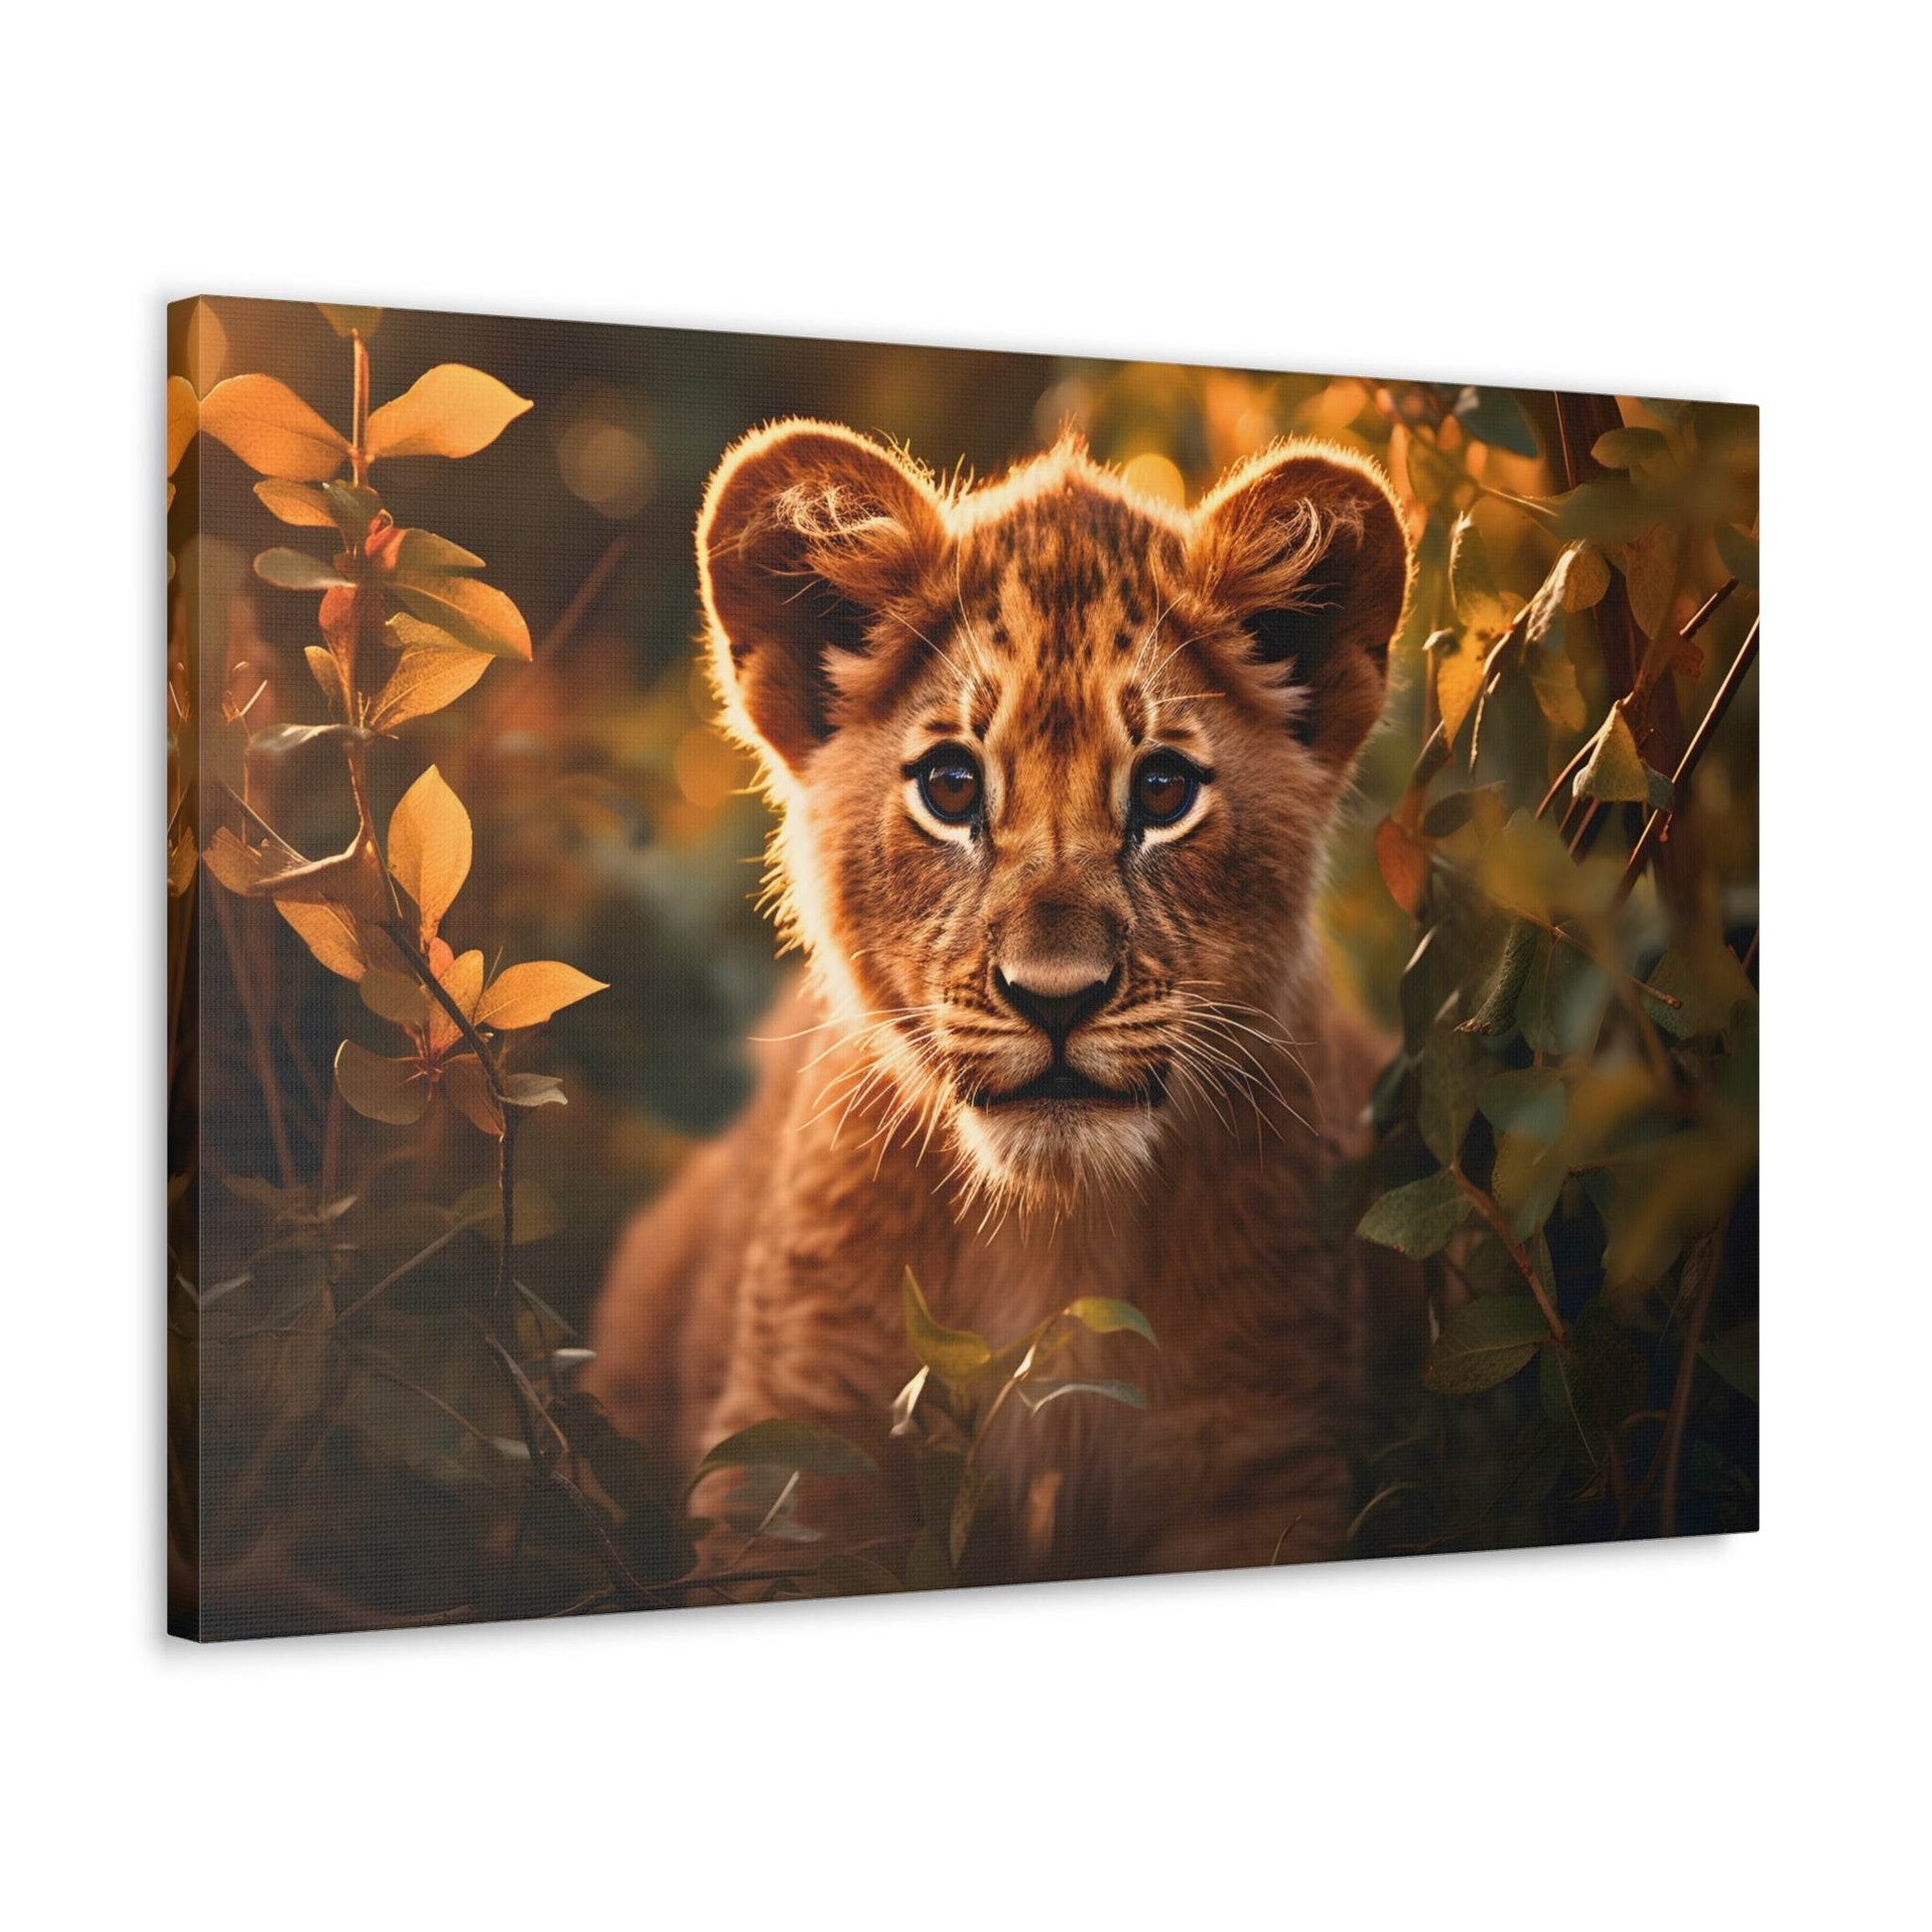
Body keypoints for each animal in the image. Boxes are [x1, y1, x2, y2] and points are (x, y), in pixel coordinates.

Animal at [585, 417, 1416, 1584]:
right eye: (951, 787)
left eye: (1163, 790)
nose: (1055, 999)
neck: (1051, 1235)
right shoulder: (793, 1456)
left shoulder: (1260, 1463)